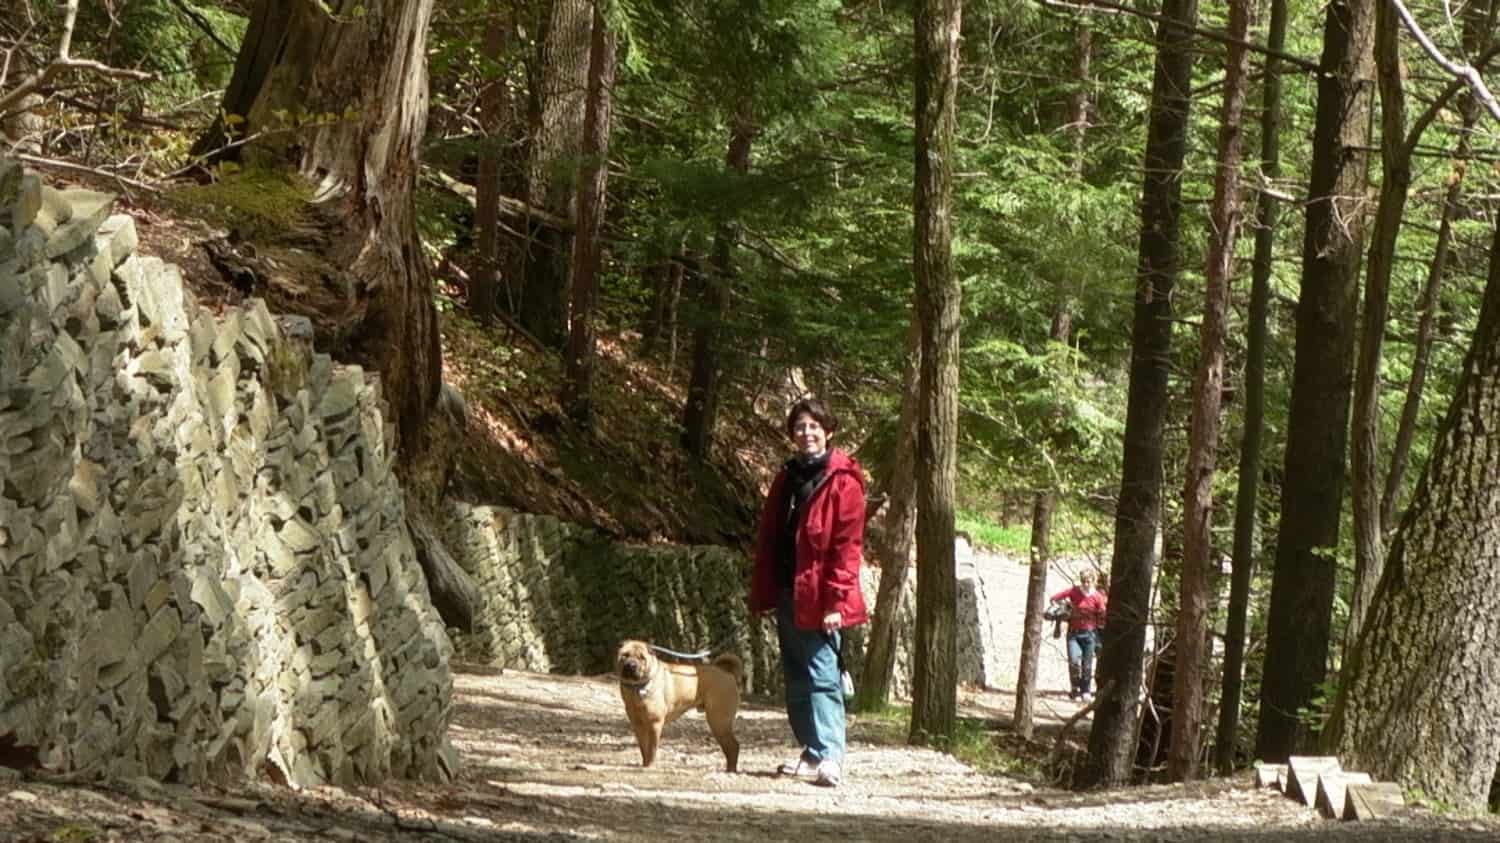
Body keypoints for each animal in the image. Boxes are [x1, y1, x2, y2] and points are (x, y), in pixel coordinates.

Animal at [615, 636, 744, 768]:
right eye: (625, 655)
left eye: (642, 658)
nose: (631, 665)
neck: (636, 688)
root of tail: (726, 673)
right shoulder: (638, 724)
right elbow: (644, 749)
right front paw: (645, 765)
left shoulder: (655, 723)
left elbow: (651, 749)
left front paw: (650, 765)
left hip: (719, 721)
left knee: (733, 747)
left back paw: (731, 770)